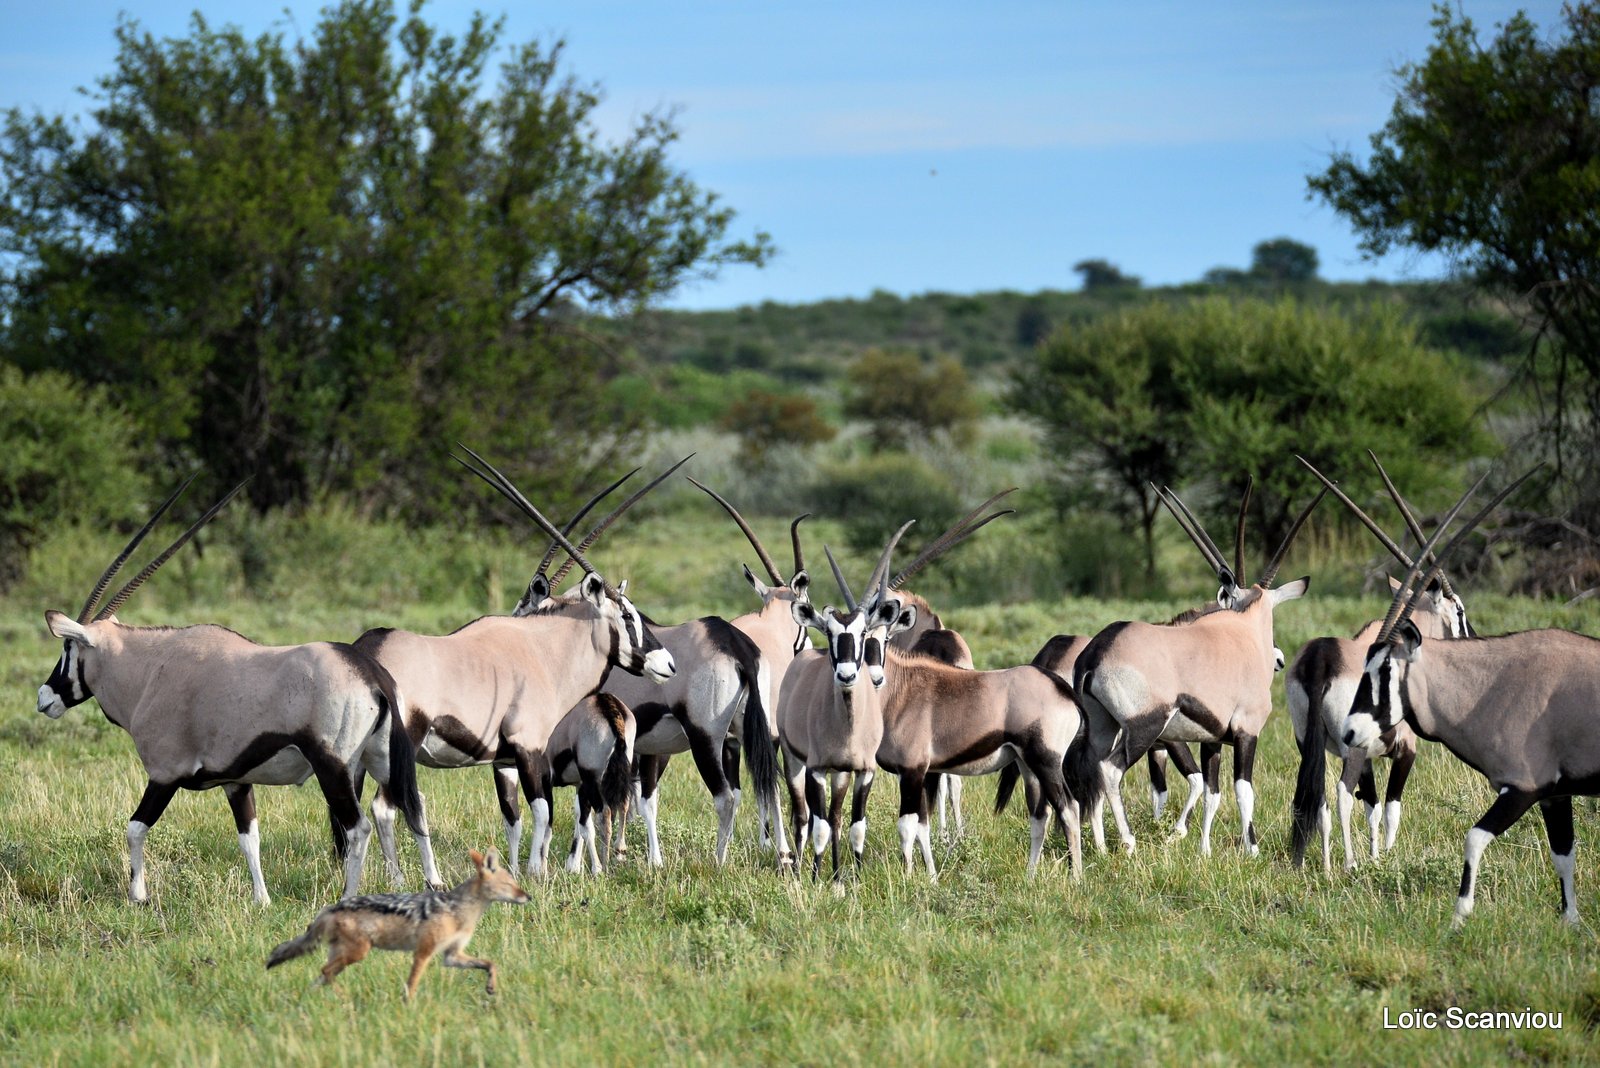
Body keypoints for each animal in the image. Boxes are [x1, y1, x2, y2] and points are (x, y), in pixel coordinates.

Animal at [42, 479, 432, 908]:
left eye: (67, 648)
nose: (45, 698)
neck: (150, 669)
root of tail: (371, 674)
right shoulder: (236, 781)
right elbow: (250, 839)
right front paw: (262, 900)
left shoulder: (164, 774)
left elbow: (135, 827)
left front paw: (138, 895)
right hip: (384, 760)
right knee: (412, 809)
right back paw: (432, 885)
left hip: (334, 767)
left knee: (358, 828)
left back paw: (347, 897)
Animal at [267, 844, 531, 997]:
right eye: (509, 885)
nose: (528, 896)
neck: (459, 910)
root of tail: (330, 909)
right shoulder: (423, 953)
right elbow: (411, 985)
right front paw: (409, 1006)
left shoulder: (451, 956)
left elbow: (490, 964)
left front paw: (491, 986)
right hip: (358, 952)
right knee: (325, 972)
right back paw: (341, 998)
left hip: (345, 954)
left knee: (321, 976)